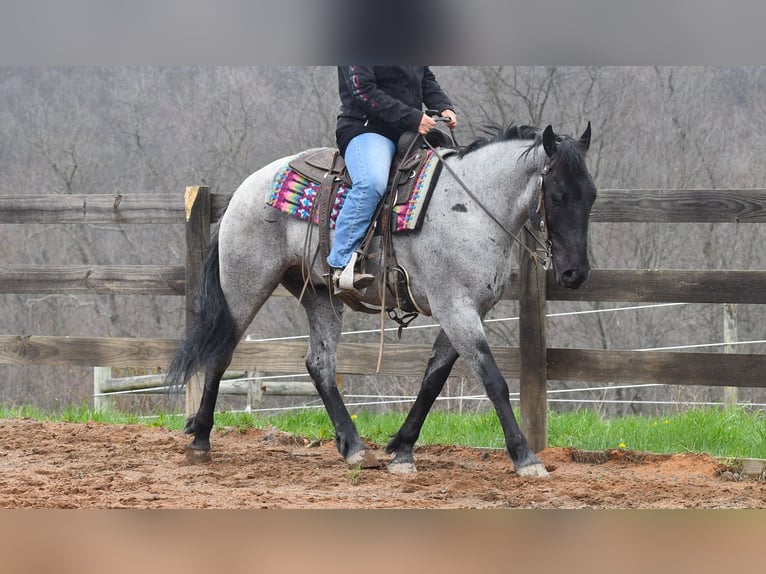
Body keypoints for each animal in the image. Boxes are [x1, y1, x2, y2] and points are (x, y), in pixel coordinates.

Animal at [166, 121, 597, 479]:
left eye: (591, 196)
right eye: (557, 196)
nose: (575, 274)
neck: (469, 209)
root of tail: (244, 190)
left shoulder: (466, 310)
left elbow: (433, 378)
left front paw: (402, 449)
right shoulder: (456, 308)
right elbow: (493, 380)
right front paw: (526, 457)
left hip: (321, 295)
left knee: (320, 364)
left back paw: (355, 448)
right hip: (246, 285)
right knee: (222, 353)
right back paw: (200, 440)